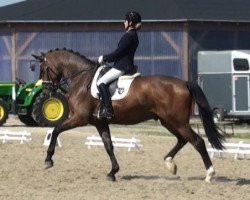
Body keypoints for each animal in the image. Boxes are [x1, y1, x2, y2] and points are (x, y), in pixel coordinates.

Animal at [31, 49, 225, 182]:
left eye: (43, 69)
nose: (46, 92)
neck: (82, 79)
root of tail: (184, 82)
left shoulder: (80, 118)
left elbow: (56, 130)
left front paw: (48, 160)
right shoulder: (100, 122)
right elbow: (109, 146)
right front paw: (113, 172)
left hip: (177, 121)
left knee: (197, 141)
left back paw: (209, 174)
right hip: (168, 121)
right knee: (183, 140)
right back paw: (170, 163)